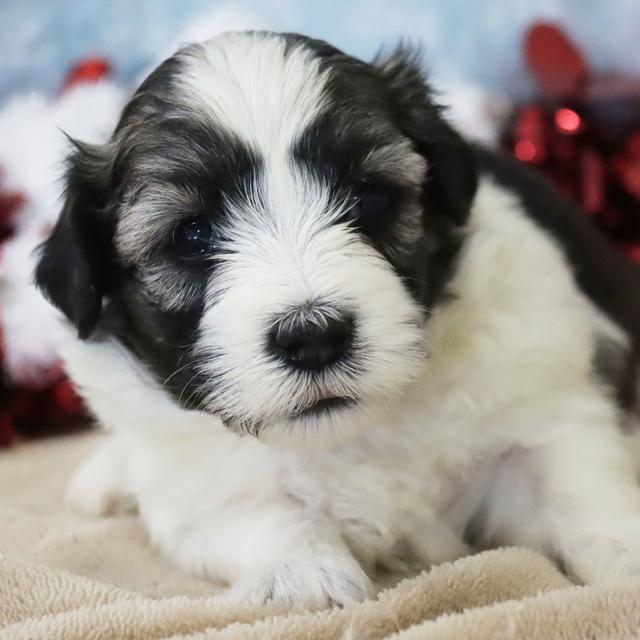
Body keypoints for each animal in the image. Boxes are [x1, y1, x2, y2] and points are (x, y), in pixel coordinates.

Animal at [33, 32, 640, 608]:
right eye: (191, 235)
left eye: (369, 197)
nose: (313, 338)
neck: (353, 434)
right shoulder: (191, 488)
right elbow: (255, 512)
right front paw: (302, 575)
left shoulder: (540, 410)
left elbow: (578, 488)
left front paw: (625, 556)